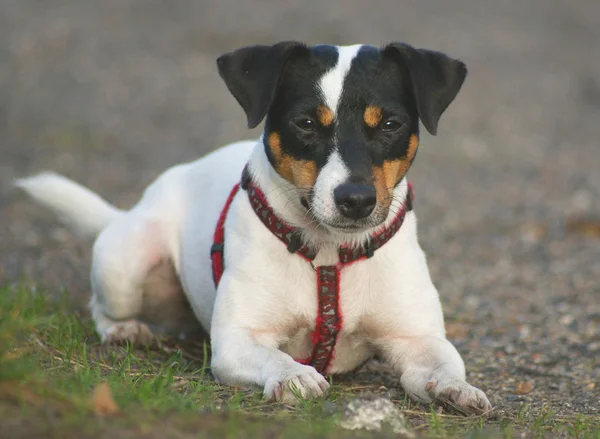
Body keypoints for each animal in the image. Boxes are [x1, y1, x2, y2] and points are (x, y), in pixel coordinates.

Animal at [16, 42, 492, 416]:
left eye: (391, 124)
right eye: (305, 123)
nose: (356, 200)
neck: (328, 254)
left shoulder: (418, 339)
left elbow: (443, 365)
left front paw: (457, 388)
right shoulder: (238, 341)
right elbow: (275, 357)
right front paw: (295, 376)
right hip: (126, 264)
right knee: (101, 303)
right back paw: (123, 329)